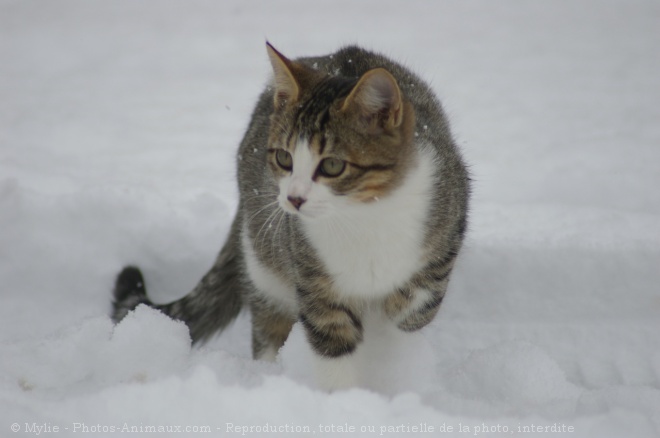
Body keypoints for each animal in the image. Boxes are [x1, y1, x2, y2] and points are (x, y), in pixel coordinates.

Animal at [114, 42, 474, 390]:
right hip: (265, 268)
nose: (293, 198)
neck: (362, 216)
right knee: (268, 325)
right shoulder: (313, 278)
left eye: (332, 165)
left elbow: (413, 311)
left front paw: (390, 353)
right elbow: (331, 343)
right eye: (284, 158)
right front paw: (345, 399)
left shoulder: (444, 235)